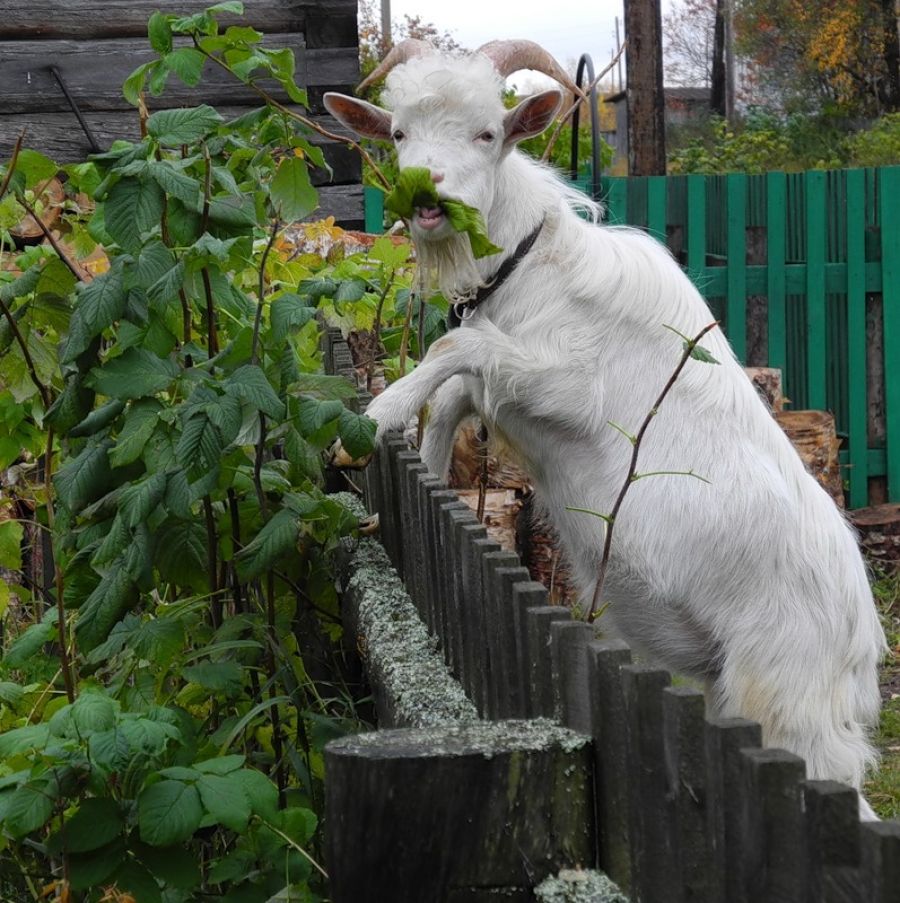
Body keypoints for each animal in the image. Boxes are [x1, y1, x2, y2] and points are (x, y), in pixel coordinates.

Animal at [324, 40, 884, 820]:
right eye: (400, 133)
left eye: (487, 133)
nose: (425, 196)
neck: (533, 269)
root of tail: (862, 649)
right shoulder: (505, 380)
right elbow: (459, 389)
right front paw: (423, 463)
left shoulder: (570, 391)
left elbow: (455, 349)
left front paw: (370, 423)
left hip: (786, 696)